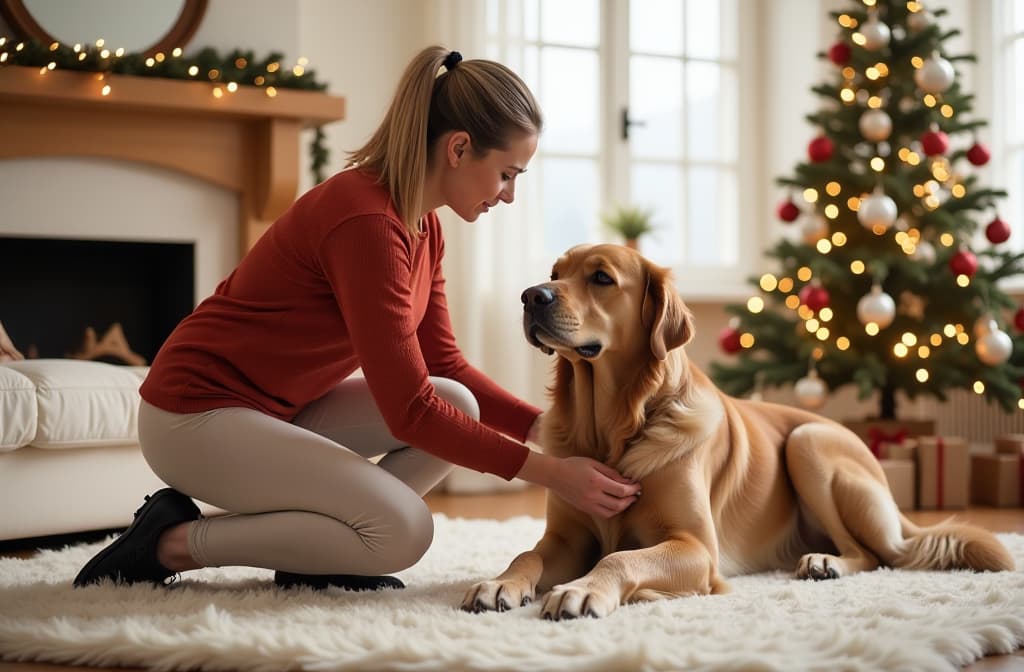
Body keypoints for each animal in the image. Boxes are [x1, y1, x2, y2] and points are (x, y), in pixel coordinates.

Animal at [464, 243, 1015, 622]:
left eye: (601, 277)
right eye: (555, 274)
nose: (531, 296)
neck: (614, 428)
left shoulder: (697, 548)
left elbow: (620, 557)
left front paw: (582, 589)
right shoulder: (566, 536)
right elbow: (526, 552)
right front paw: (500, 583)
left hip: (808, 443)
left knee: (880, 555)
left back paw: (826, 563)